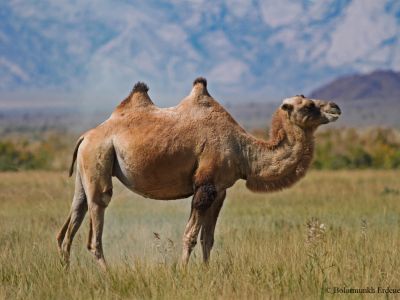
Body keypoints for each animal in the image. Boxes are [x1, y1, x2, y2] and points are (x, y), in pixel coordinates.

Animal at [56, 77, 340, 270]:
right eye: (308, 105)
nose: (336, 107)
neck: (243, 150)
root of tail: (85, 136)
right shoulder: (205, 186)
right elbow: (190, 235)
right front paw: (181, 272)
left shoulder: (220, 190)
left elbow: (208, 238)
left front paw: (206, 272)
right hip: (98, 157)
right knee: (96, 218)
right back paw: (109, 274)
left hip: (85, 170)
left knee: (71, 220)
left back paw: (67, 272)